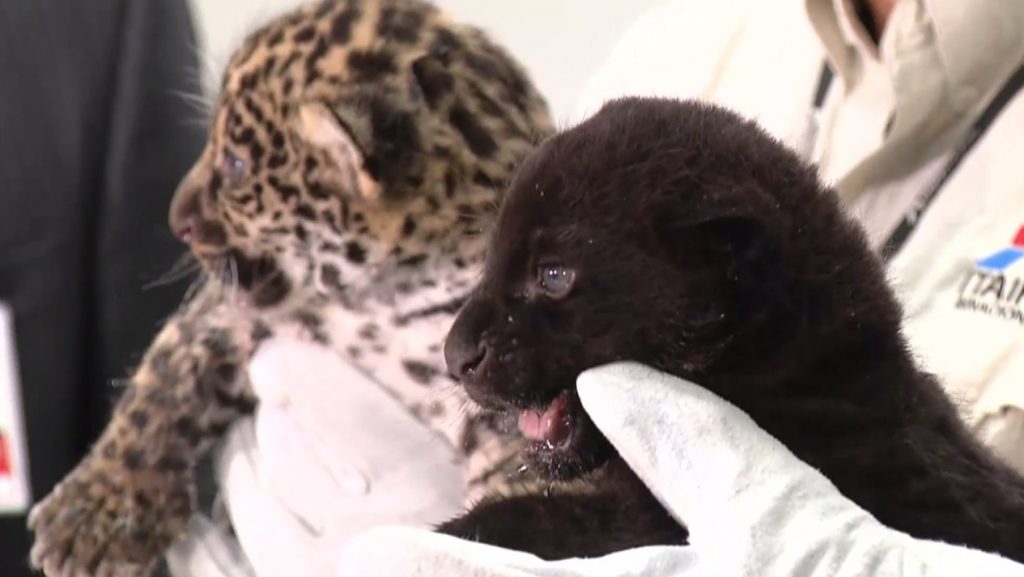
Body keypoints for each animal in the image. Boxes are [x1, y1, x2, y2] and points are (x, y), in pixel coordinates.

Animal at [26, 0, 552, 575]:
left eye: (234, 165)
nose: (175, 217)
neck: (389, 293)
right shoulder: (234, 312)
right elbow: (162, 387)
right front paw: (96, 513)